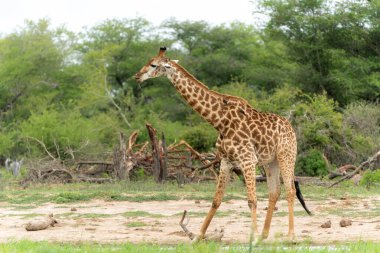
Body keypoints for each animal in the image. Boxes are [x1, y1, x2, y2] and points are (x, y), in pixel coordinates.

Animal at [134, 46, 312, 242]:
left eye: (153, 65)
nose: (137, 76)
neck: (219, 121)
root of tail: (291, 128)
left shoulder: (247, 160)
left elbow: (252, 200)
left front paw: (252, 236)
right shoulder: (226, 161)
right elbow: (216, 200)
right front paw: (198, 236)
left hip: (286, 156)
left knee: (290, 190)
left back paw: (290, 235)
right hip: (270, 162)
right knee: (274, 192)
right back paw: (265, 235)